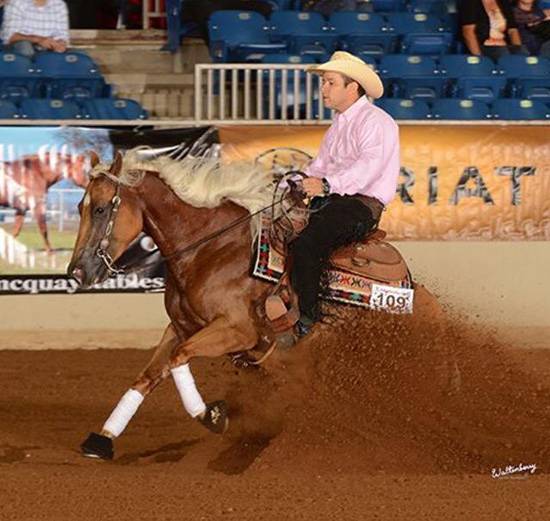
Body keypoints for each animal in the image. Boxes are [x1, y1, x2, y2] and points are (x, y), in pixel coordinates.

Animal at [66, 147, 444, 460]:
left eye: (100, 208)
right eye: (79, 207)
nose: (76, 272)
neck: (211, 250)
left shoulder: (237, 331)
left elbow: (178, 359)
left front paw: (212, 416)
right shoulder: (180, 327)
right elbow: (146, 377)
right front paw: (101, 440)